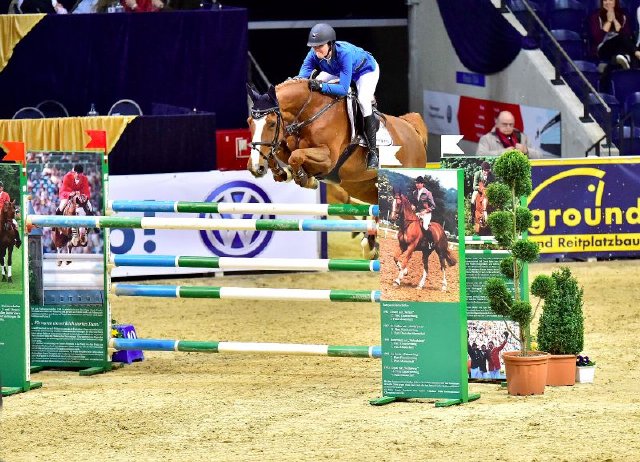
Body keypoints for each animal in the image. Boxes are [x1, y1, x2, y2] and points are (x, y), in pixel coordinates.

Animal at [248, 80, 428, 205]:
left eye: (272, 124)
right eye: (249, 122)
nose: (254, 168)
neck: (310, 113)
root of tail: (412, 129)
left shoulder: (329, 158)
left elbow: (296, 156)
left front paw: (303, 178)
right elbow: (281, 153)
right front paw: (280, 172)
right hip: (362, 185)